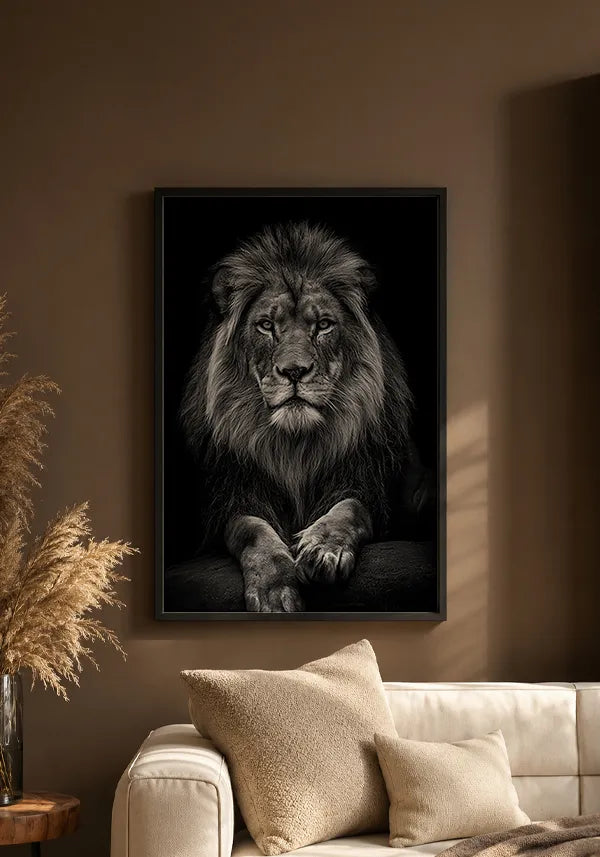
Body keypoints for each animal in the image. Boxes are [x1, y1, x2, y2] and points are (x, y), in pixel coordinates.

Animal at [181, 221, 430, 612]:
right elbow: (251, 530)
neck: (295, 448)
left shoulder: (364, 483)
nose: (294, 371)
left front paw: (322, 548)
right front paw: (274, 589)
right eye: (266, 325)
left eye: (324, 324)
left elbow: (349, 508)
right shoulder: (232, 496)